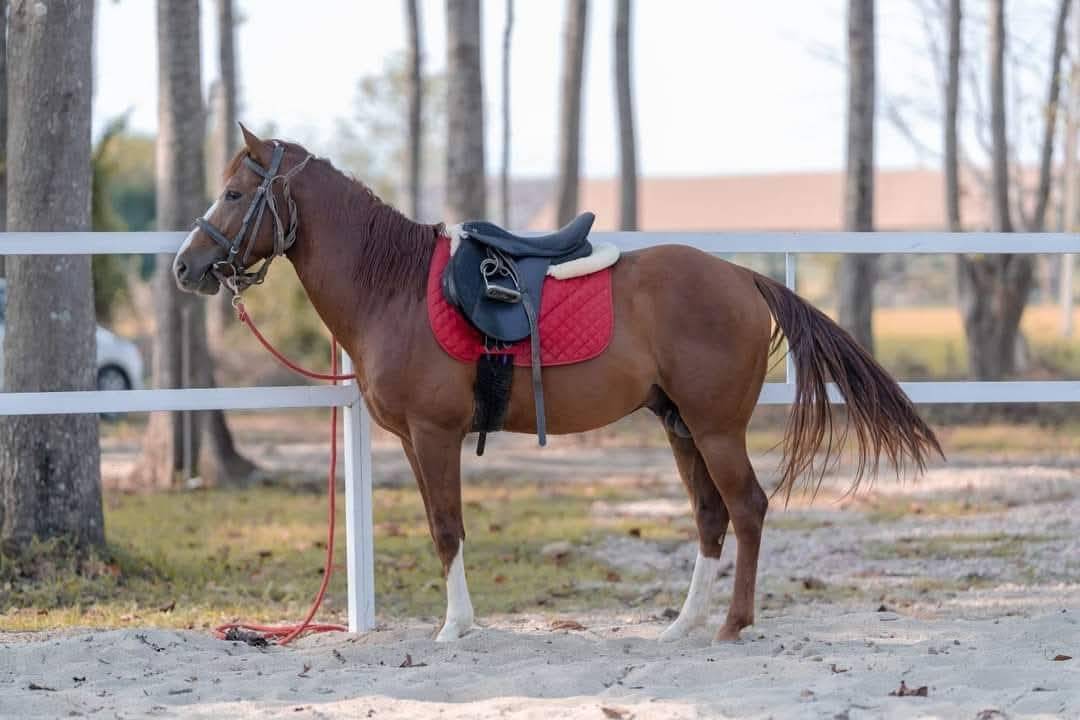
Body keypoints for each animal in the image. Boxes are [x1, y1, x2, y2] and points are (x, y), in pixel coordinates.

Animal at [173, 126, 942, 643]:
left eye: (235, 193)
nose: (185, 266)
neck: (394, 285)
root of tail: (743, 277)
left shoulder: (436, 435)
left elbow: (447, 528)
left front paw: (455, 628)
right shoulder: (415, 442)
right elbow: (439, 527)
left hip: (716, 428)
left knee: (747, 508)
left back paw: (732, 624)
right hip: (681, 427)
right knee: (711, 517)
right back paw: (683, 626)